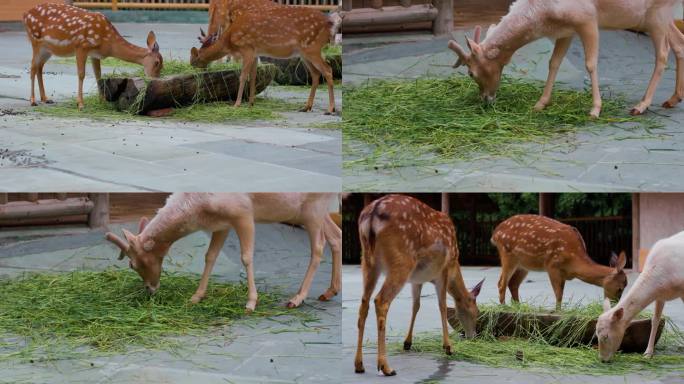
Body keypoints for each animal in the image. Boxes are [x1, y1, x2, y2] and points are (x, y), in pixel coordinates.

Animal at [22, 3, 163, 109]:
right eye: (157, 62)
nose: (155, 80)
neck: (108, 41)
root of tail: (25, 15)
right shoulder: (81, 46)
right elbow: (81, 74)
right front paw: (80, 104)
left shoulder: (95, 54)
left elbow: (98, 75)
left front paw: (102, 101)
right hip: (36, 41)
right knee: (33, 67)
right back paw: (33, 101)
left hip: (48, 49)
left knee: (39, 67)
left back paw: (45, 99)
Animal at [105, 194, 342, 310]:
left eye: (133, 264)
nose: (150, 289)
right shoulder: (222, 223)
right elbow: (210, 256)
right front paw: (195, 297)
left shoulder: (243, 213)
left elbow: (246, 257)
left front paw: (251, 303)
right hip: (311, 210)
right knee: (336, 235)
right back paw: (329, 291)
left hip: (313, 208)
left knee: (318, 246)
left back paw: (297, 298)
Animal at [356, 195, 484, 376]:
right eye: (476, 312)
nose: (473, 336)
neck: (455, 267)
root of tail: (373, 213)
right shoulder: (443, 271)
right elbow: (442, 305)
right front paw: (448, 347)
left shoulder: (417, 280)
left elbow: (416, 305)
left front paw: (407, 343)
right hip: (402, 261)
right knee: (380, 300)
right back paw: (386, 367)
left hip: (368, 262)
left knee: (364, 303)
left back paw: (359, 365)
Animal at [446, 0, 684, 118]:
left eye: (471, 73)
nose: (485, 99)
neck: (544, 15)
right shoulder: (566, 30)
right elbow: (554, 63)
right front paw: (539, 104)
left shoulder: (587, 19)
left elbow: (591, 63)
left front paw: (595, 109)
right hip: (655, 17)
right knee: (679, 42)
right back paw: (673, 99)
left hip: (656, 14)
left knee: (663, 53)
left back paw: (641, 105)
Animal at [488, 214, 628, 310]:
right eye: (620, 288)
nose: (615, 305)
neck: (575, 259)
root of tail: (495, 234)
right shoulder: (552, 265)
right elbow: (559, 294)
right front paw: (558, 311)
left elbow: (560, 292)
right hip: (507, 254)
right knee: (501, 283)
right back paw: (504, 308)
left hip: (523, 265)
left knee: (513, 284)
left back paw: (519, 308)